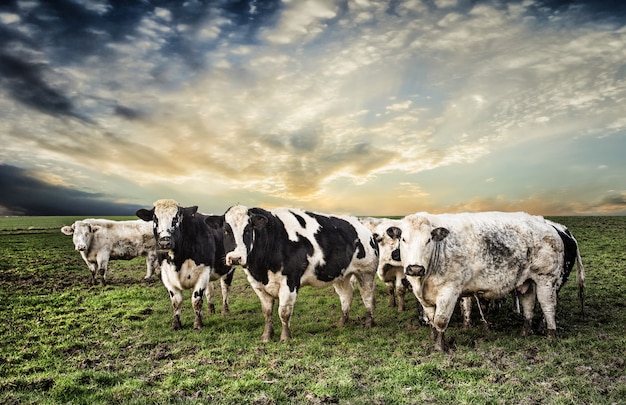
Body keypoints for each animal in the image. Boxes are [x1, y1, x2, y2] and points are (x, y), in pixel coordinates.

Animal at [135, 199, 235, 328]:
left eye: (176, 218)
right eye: (155, 219)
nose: (164, 242)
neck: (177, 259)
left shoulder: (203, 272)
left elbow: (196, 300)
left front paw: (198, 324)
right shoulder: (167, 275)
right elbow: (176, 301)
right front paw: (176, 324)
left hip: (229, 268)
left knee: (225, 289)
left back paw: (225, 311)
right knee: (210, 291)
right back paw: (210, 310)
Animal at [207, 205, 378, 340]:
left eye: (248, 229)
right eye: (225, 230)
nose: (235, 258)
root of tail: (362, 226)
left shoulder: (290, 282)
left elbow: (283, 312)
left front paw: (285, 337)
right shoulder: (258, 285)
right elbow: (267, 312)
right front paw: (266, 336)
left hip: (366, 272)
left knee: (368, 296)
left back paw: (369, 322)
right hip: (340, 275)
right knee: (346, 295)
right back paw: (342, 322)